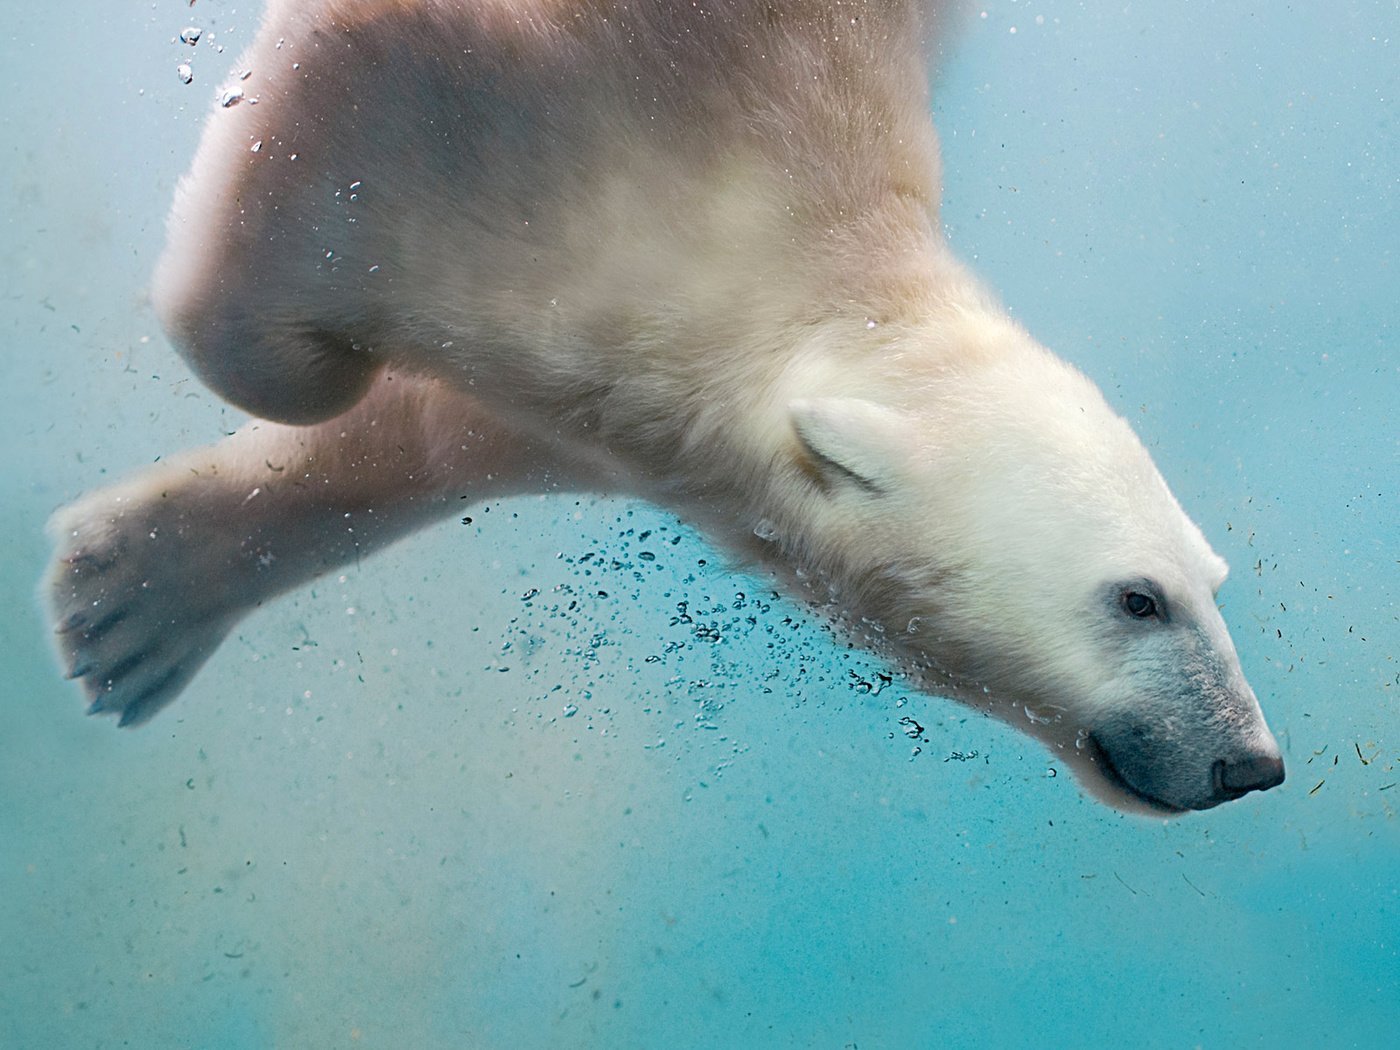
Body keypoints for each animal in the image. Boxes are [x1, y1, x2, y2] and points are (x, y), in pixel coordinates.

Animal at [49, 0, 1282, 812]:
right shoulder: (508, 101)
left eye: (1210, 581)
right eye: (1136, 599)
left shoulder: (618, 383)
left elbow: (458, 425)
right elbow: (296, 323)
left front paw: (127, 602)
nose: (1250, 764)